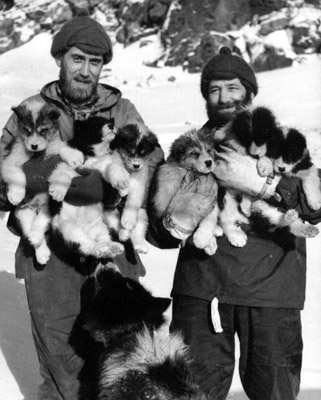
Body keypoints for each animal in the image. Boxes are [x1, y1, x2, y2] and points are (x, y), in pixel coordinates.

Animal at [0, 96, 84, 266]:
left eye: (43, 130)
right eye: (27, 130)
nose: (33, 145)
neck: (37, 154)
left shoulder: (55, 152)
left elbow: (62, 155)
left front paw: (73, 156)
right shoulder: (9, 161)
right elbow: (17, 175)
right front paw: (16, 194)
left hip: (49, 205)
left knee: (41, 222)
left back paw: (37, 237)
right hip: (22, 211)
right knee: (29, 229)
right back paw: (40, 250)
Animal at [103, 123, 159, 253]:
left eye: (143, 153)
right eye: (129, 151)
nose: (136, 165)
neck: (130, 171)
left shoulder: (138, 185)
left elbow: (132, 204)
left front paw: (128, 221)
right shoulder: (112, 163)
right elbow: (115, 170)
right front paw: (121, 183)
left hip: (142, 215)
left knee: (137, 231)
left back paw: (138, 243)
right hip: (109, 214)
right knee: (117, 225)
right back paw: (123, 235)